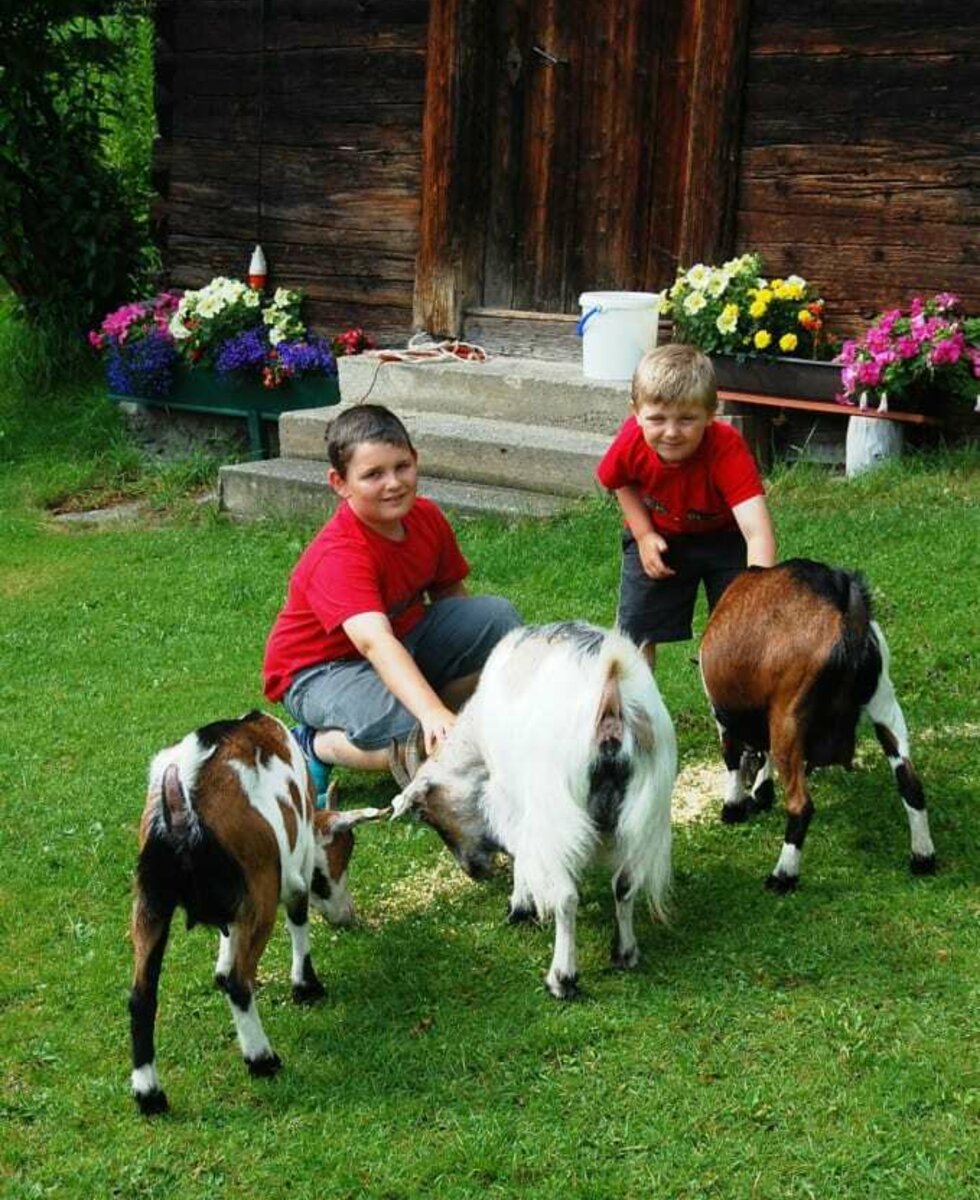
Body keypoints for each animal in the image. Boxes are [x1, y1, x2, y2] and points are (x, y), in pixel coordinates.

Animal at [128, 710, 388, 1113]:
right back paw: (262, 1059)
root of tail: (181, 804)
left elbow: (225, 953)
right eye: (342, 857)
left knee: (142, 996)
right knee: (239, 983)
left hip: (151, 902)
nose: (347, 915)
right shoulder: (294, 872)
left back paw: (149, 1094)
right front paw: (306, 988)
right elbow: (298, 921)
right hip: (260, 893)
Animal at [386, 624, 676, 998]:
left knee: (567, 896)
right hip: (647, 809)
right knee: (626, 882)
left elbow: (519, 850)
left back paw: (562, 979)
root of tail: (611, 700)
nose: (474, 871)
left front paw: (519, 907)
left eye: (426, 814)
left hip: (554, 807)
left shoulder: (512, 800)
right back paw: (624, 954)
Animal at [700, 559, 935, 892]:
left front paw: (733, 808)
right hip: (883, 699)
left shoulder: (723, 714)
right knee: (910, 783)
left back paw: (782, 877)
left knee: (801, 805)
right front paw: (761, 793)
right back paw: (923, 858)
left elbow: (731, 758)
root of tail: (842, 601)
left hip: (788, 715)